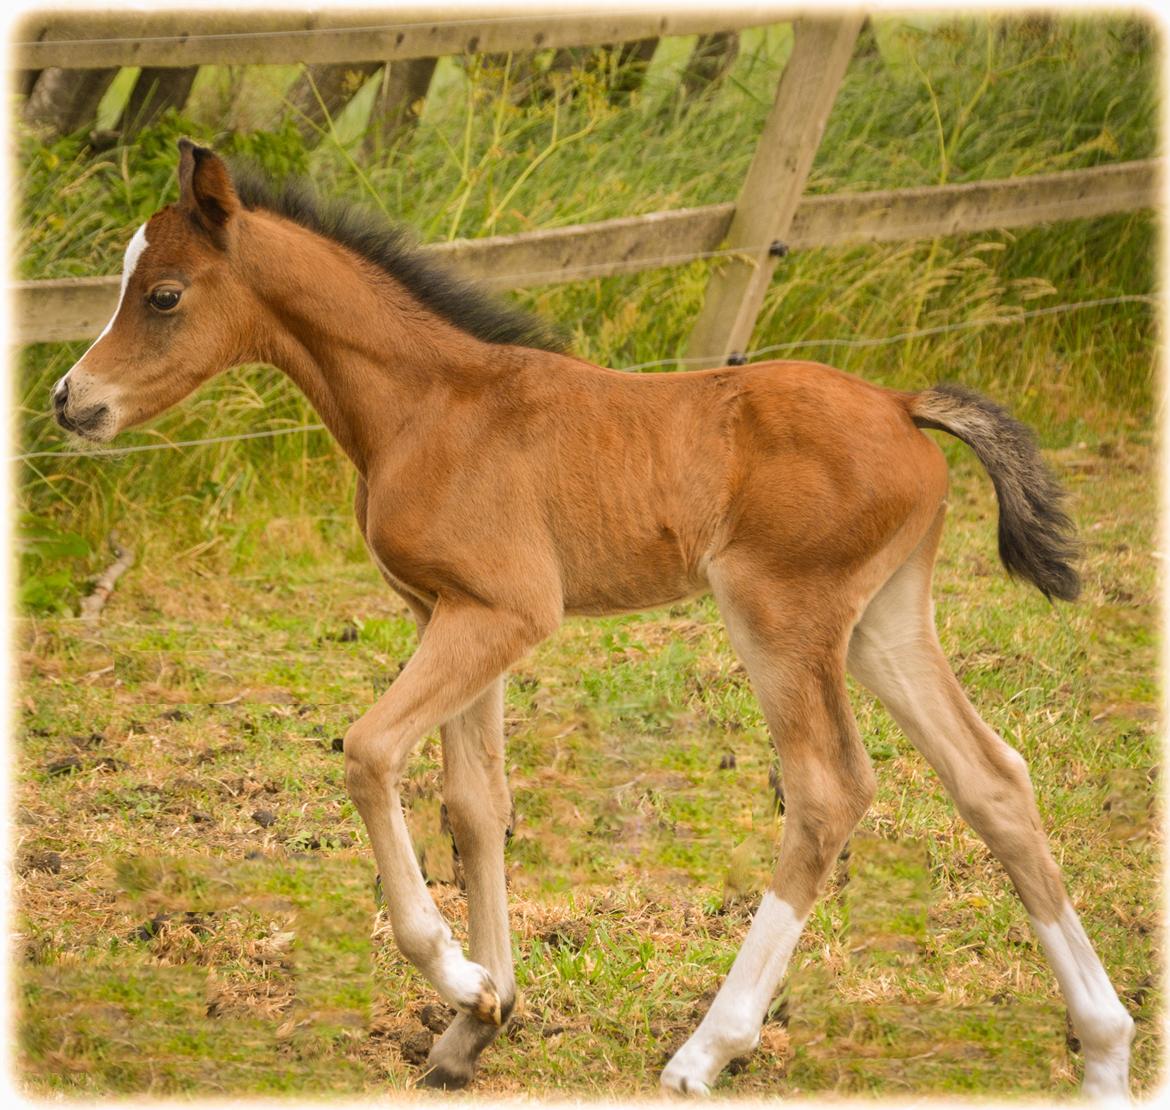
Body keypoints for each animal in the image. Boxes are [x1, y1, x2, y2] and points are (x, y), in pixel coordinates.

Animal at [51, 139, 1134, 1098]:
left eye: (163, 295)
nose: (70, 401)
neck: (429, 405)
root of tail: (905, 404)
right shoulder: (451, 612)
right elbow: (475, 803)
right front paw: (475, 1023)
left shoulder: (507, 612)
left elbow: (369, 752)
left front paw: (456, 975)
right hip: (886, 622)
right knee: (993, 779)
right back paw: (1106, 1049)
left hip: (781, 612)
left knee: (828, 791)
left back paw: (707, 1051)